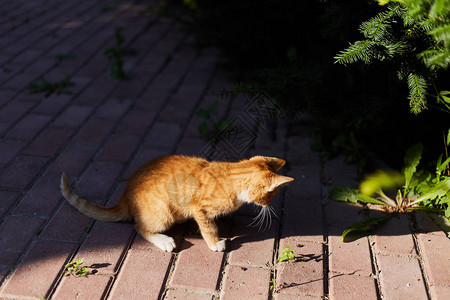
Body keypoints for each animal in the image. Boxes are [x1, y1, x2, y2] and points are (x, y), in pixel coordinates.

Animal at [60, 156, 296, 252]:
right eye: (270, 196)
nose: (268, 204)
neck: (232, 175)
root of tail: (125, 195)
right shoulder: (199, 208)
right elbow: (208, 227)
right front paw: (215, 243)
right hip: (163, 212)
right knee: (139, 227)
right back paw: (164, 240)